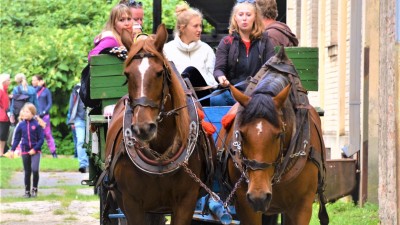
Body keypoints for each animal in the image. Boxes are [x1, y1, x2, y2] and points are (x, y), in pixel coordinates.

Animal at [101, 23, 214, 224]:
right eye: (127, 74)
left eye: (160, 73)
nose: (143, 128)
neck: (160, 153)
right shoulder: (132, 204)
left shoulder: (186, 202)